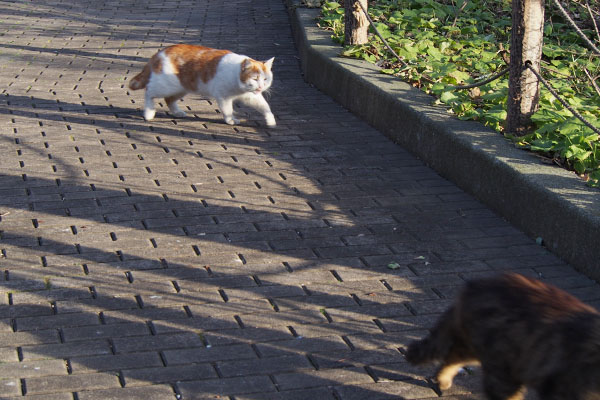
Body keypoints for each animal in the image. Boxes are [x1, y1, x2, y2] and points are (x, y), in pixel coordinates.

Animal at [129, 43, 276, 126]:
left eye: (265, 79)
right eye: (255, 78)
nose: (261, 87)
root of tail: (159, 53)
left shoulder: (250, 96)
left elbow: (265, 106)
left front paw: (270, 120)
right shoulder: (224, 97)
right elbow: (228, 110)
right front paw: (230, 120)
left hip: (181, 88)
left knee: (169, 99)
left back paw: (177, 112)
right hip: (166, 86)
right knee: (149, 92)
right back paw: (149, 113)